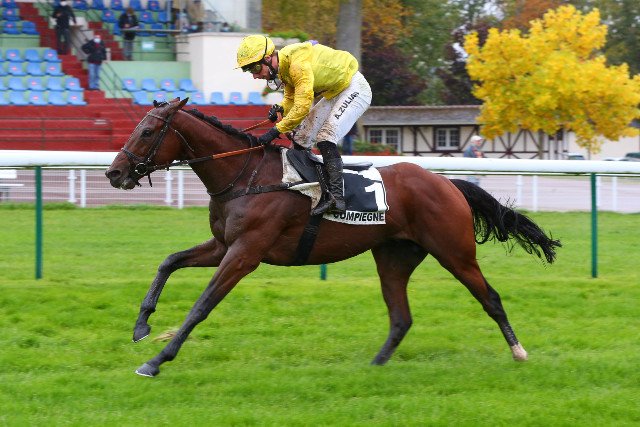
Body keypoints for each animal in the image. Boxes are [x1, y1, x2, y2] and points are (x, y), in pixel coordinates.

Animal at [105, 98, 561, 377]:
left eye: (147, 133)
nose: (113, 173)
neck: (245, 175)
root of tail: (448, 183)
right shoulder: (222, 246)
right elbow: (169, 260)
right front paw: (142, 325)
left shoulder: (245, 253)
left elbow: (201, 305)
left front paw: (157, 360)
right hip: (394, 257)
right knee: (401, 316)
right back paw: (375, 366)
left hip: (455, 251)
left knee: (490, 298)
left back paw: (519, 351)